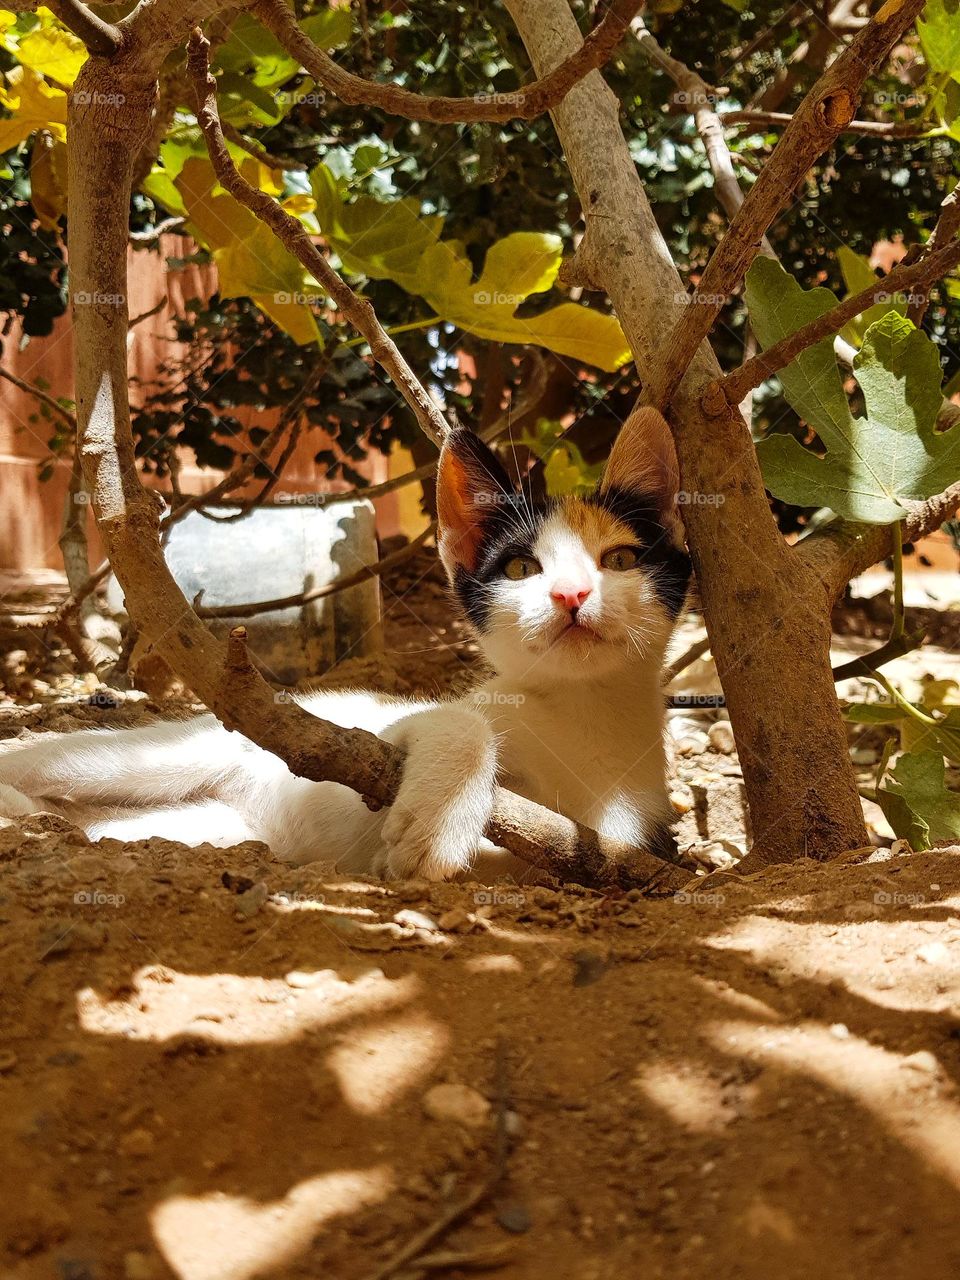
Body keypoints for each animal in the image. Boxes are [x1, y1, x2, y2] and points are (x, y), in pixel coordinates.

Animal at [0, 409, 691, 880]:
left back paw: (43, 818)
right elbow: (459, 723)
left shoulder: (612, 839)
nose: (572, 594)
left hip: (210, 828)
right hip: (164, 756)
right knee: (59, 759)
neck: (581, 709)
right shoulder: (377, 732)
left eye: (620, 559)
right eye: (522, 568)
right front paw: (439, 822)